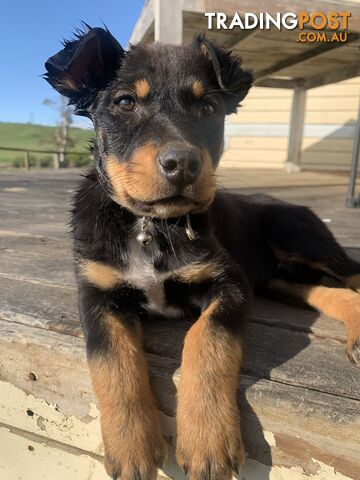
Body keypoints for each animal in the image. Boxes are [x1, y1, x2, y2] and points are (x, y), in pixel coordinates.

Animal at [45, 28, 360, 480]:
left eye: (209, 108)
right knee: (328, 289)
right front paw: (131, 448)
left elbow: (207, 340)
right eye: (124, 102)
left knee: (350, 275)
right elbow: (111, 361)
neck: (151, 225)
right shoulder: (97, 293)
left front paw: (208, 442)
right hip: (280, 277)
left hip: (295, 231)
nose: (182, 164)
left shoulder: (230, 283)